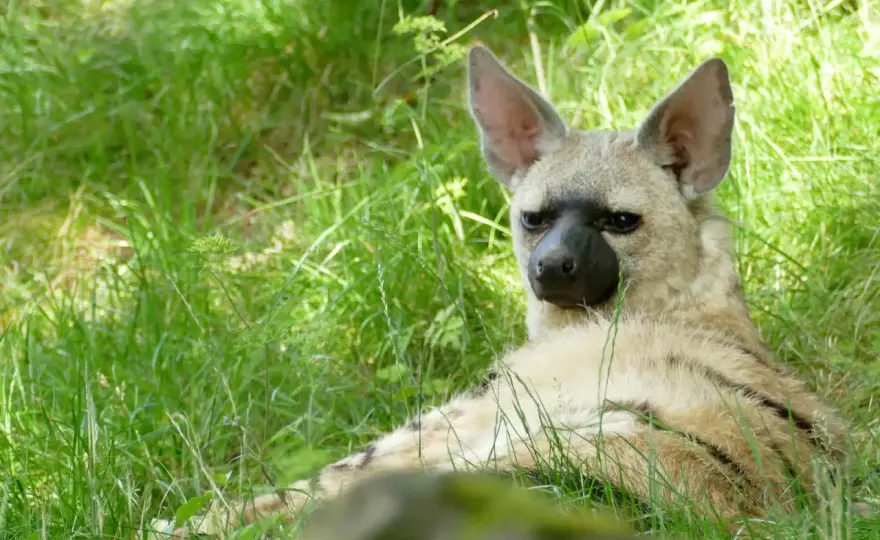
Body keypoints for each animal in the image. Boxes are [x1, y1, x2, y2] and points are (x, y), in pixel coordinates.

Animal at [164, 45, 848, 537]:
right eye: (534, 218)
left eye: (620, 221)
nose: (553, 267)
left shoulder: (467, 414)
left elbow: (281, 491)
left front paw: (194, 518)